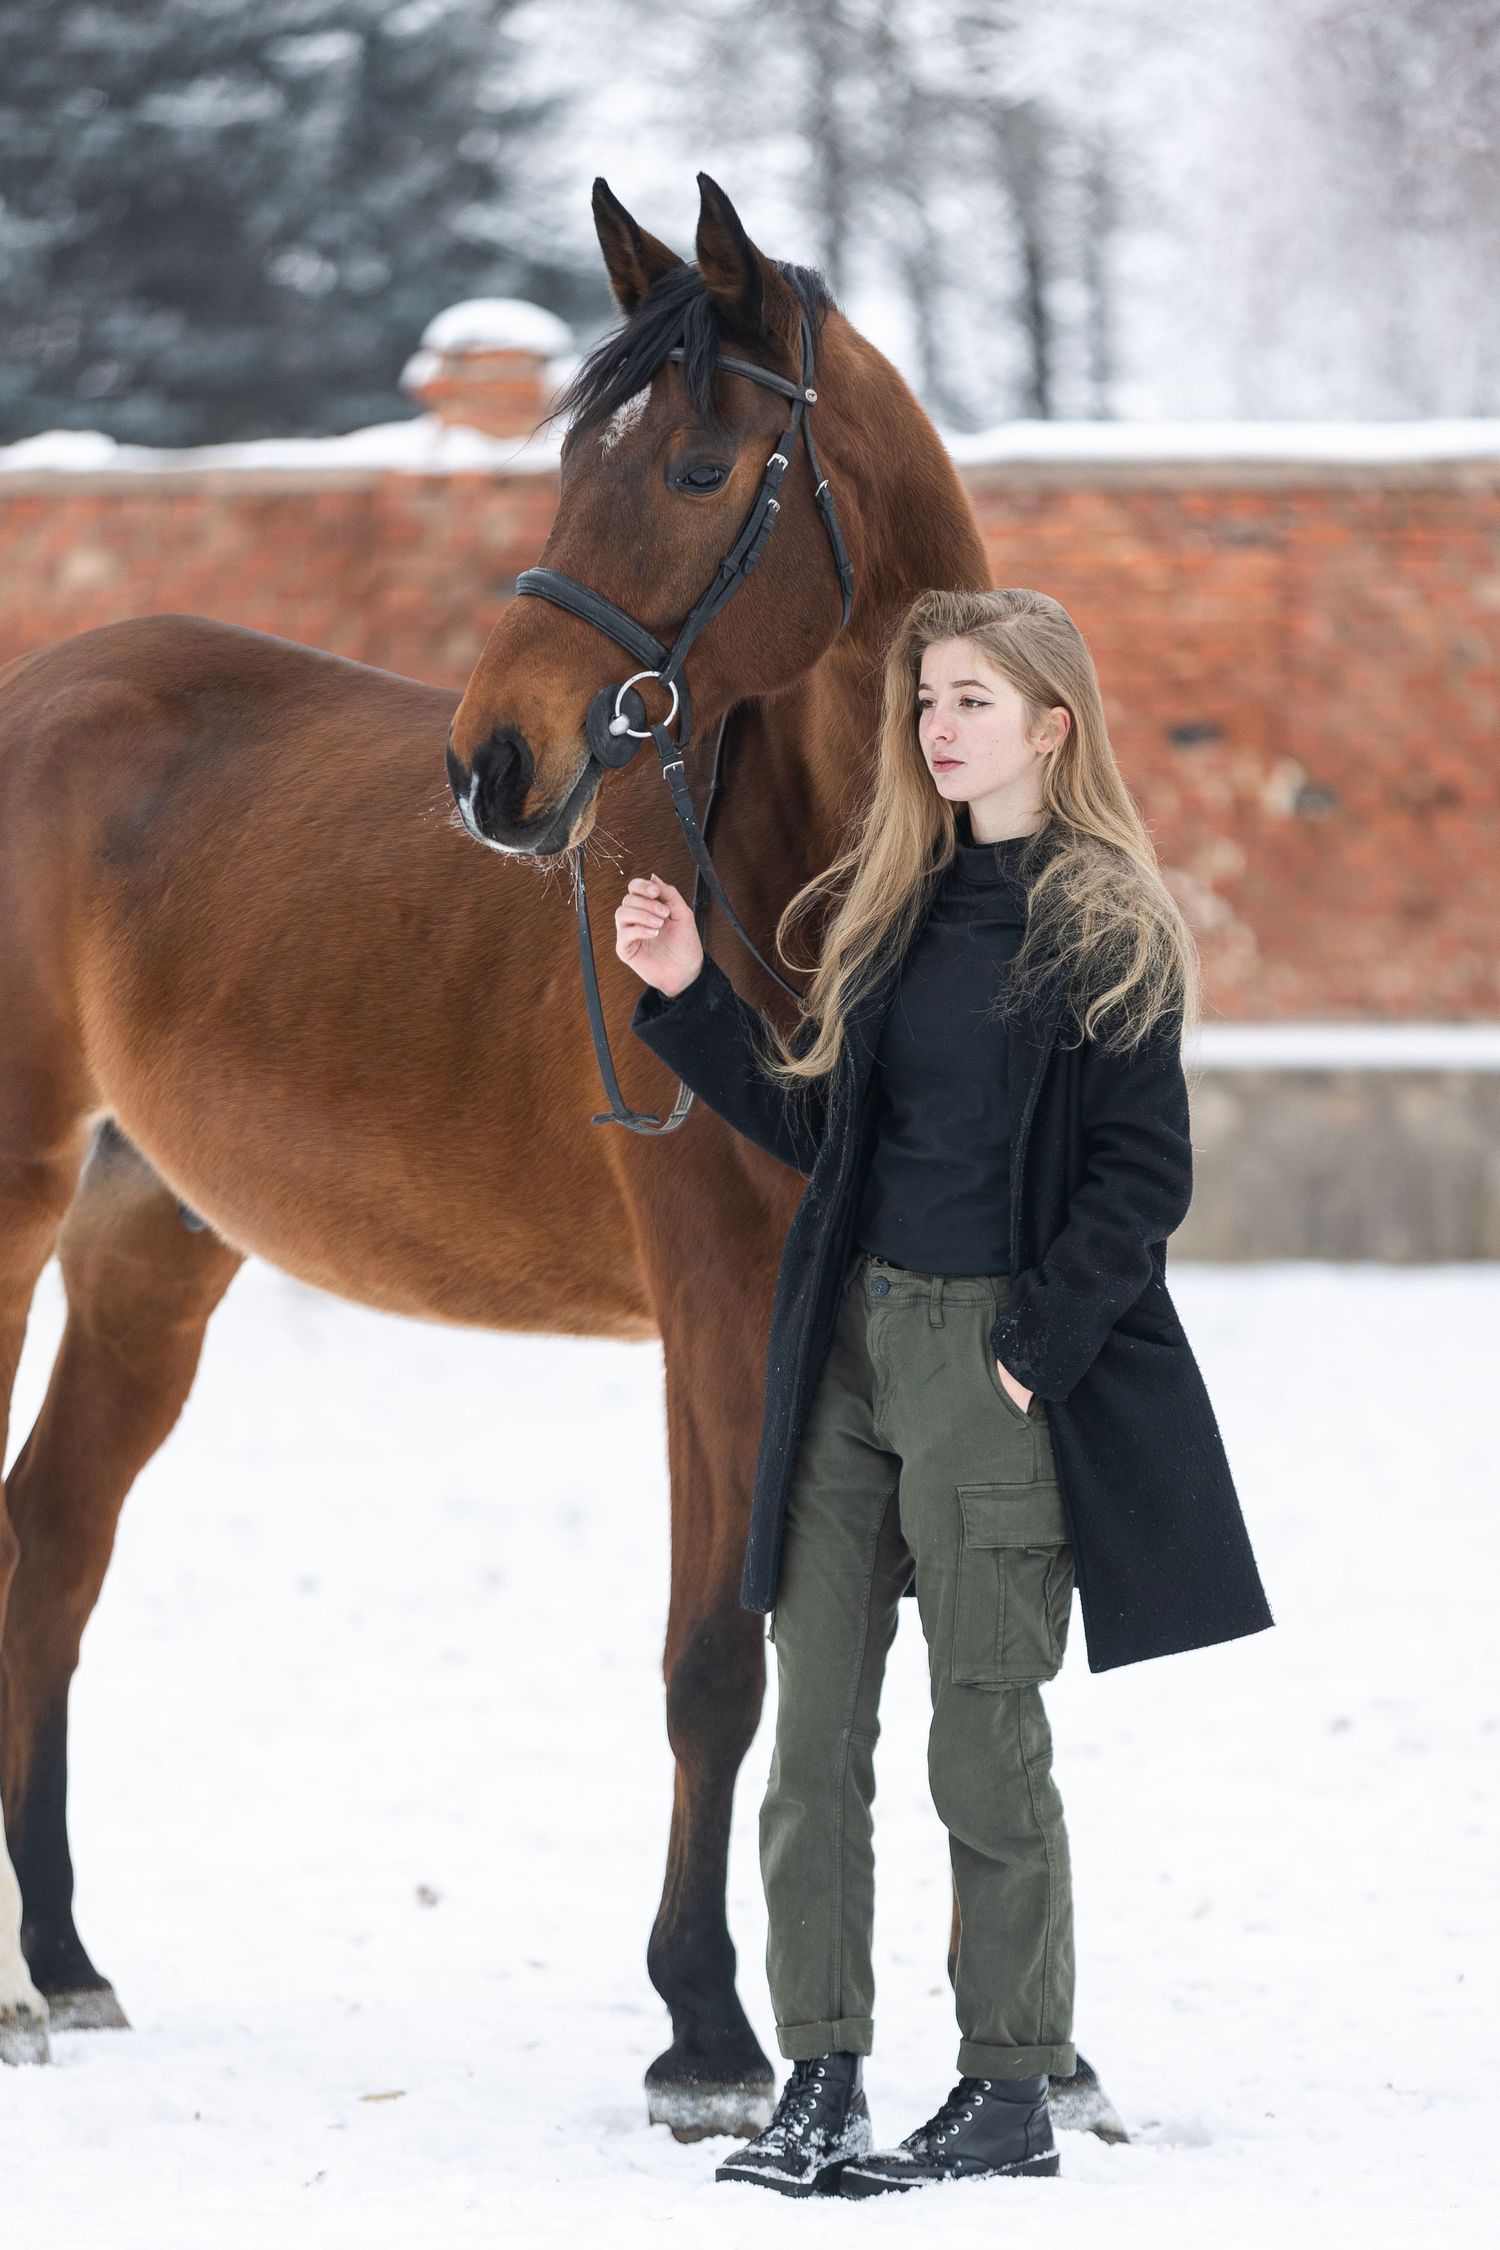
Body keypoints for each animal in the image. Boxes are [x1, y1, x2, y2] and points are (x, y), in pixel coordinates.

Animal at [0, 170, 1120, 2141]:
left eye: (695, 466)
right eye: (574, 458)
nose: (494, 764)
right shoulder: (722, 1310)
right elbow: (718, 1663)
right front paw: (708, 2033)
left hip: (150, 1247)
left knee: (51, 1539)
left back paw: (64, 1960)